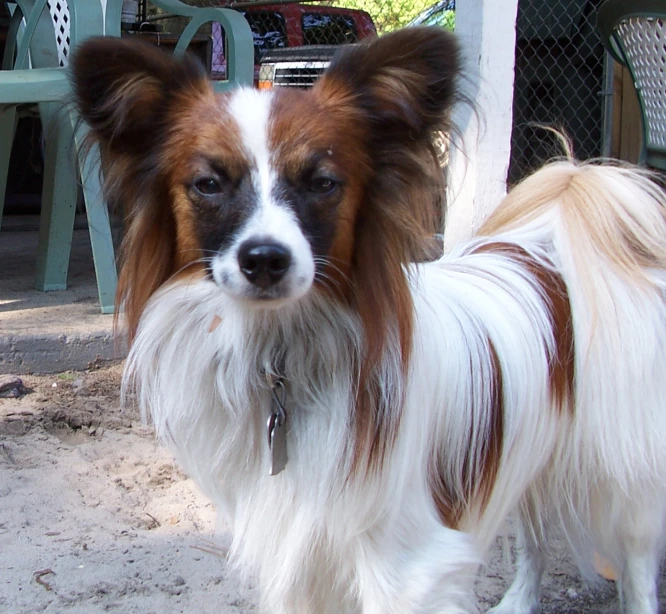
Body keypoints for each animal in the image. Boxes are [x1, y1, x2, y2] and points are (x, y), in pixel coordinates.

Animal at [71, 26, 664, 612]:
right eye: (209, 185)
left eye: (322, 183)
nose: (264, 259)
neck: (282, 354)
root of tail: (551, 247)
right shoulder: (299, 548)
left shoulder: (408, 565)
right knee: (534, 531)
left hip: (623, 475)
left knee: (634, 559)